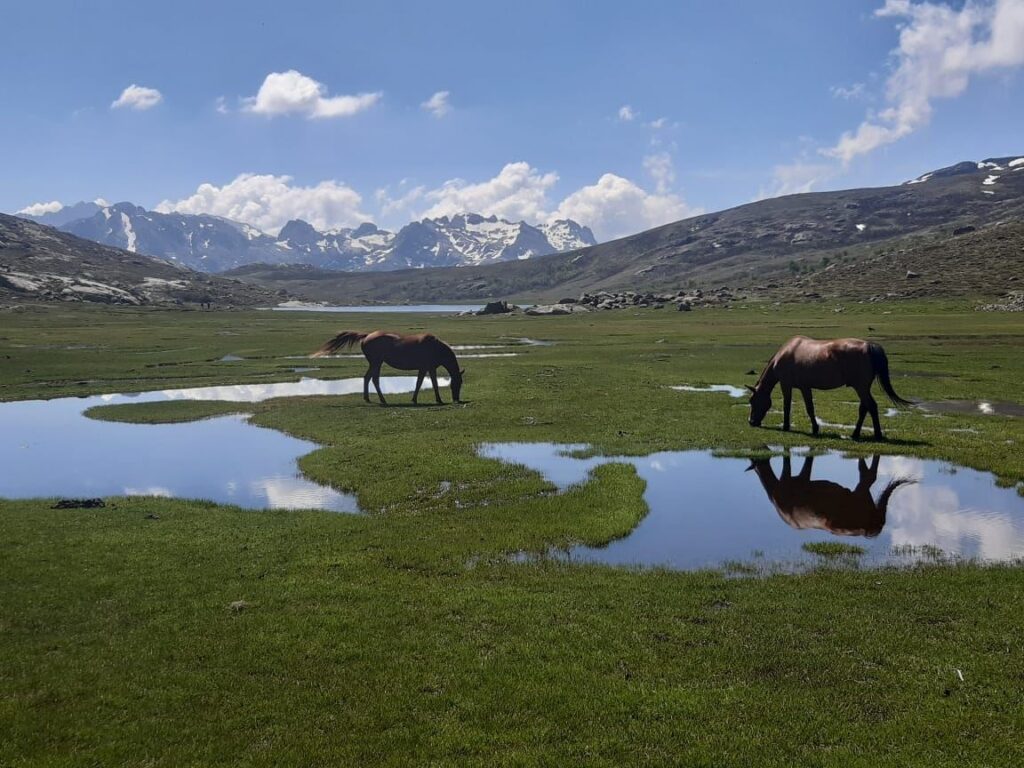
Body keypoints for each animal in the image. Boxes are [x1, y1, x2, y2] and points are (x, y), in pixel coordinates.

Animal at [311, 331, 464, 409]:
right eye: (456, 384)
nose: (457, 399)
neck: (435, 347)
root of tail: (366, 336)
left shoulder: (427, 368)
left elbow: (424, 383)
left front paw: (416, 399)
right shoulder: (427, 368)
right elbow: (429, 384)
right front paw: (436, 400)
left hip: (374, 363)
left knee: (367, 378)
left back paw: (367, 398)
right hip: (376, 363)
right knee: (374, 379)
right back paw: (383, 400)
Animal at [745, 335, 913, 438]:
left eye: (752, 401)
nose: (751, 422)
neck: (785, 354)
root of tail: (869, 345)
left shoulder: (786, 385)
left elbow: (787, 406)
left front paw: (786, 426)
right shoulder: (805, 387)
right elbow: (810, 408)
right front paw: (815, 428)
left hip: (861, 387)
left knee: (871, 406)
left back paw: (873, 435)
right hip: (863, 388)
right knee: (865, 407)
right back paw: (856, 433)